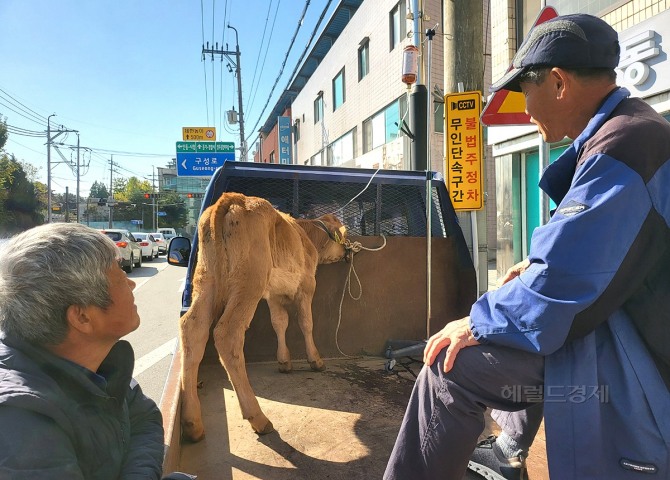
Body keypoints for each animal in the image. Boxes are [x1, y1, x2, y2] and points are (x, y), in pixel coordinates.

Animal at [180, 193, 346, 440]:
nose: (347, 253)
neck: (306, 234)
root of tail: (233, 199)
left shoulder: (274, 294)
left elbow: (279, 323)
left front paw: (284, 361)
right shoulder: (307, 285)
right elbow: (306, 323)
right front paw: (315, 360)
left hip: (206, 280)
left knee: (192, 329)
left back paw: (192, 423)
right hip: (250, 280)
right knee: (227, 334)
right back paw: (258, 418)